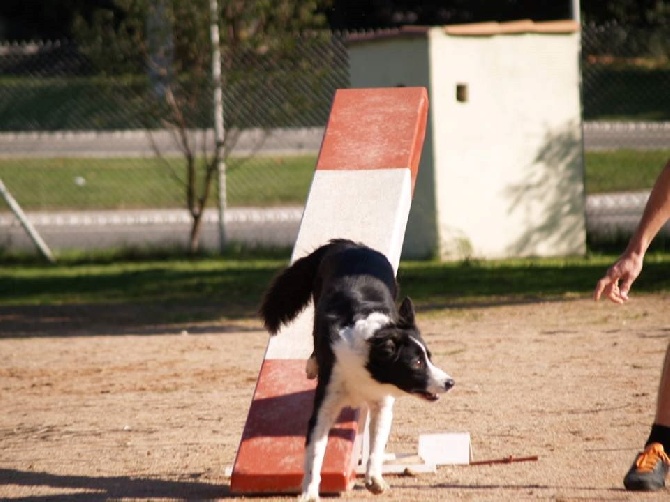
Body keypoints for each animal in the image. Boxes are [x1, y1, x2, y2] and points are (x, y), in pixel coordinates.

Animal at [262, 238, 456, 498]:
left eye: (430, 358)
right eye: (416, 362)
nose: (450, 382)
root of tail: (349, 244)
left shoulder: (382, 404)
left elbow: (376, 445)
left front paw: (374, 480)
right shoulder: (325, 404)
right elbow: (315, 452)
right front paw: (310, 493)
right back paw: (312, 364)